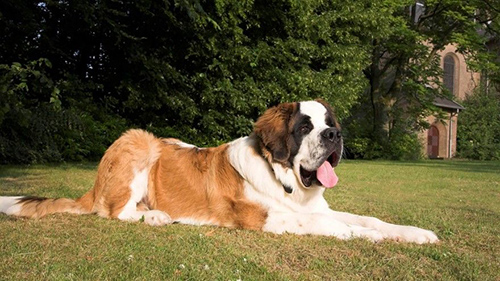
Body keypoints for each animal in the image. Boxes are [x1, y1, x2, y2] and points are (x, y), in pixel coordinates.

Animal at [0, 99, 438, 242]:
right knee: (113, 212)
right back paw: (156, 216)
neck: (285, 182)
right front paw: (367, 237)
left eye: (330, 123)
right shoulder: (263, 217)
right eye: (304, 128)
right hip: (140, 140)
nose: (335, 134)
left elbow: (367, 218)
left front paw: (415, 234)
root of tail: (92, 185)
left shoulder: (313, 207)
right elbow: (336, 225)